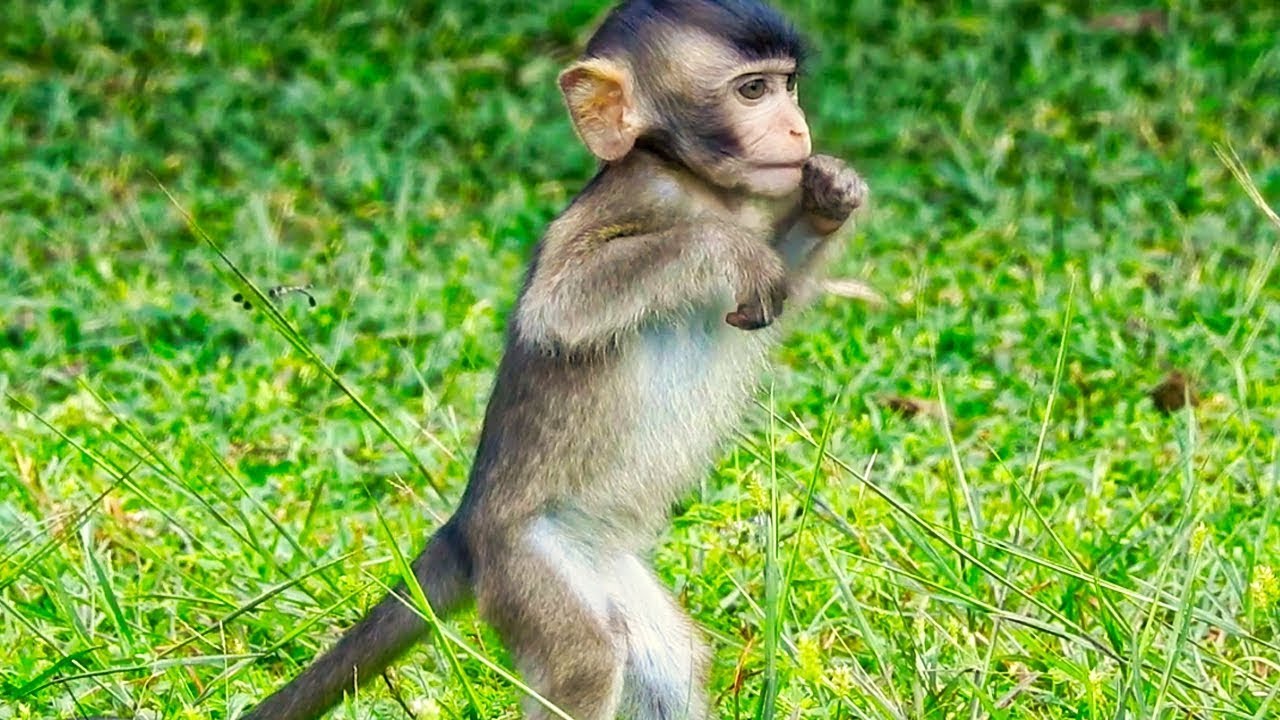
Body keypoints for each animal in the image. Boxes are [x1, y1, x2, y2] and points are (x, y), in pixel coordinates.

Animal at [240, 1, 865, 717]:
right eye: (753, 90)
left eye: (789, 85)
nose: (796, 126)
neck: (697, 186)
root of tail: (465, 528)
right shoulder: (631, 196)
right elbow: (558, 309)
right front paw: (726, 248)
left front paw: (831, 194)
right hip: (531, 564)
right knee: (586, 662)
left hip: (603, 569)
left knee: (667, 660)